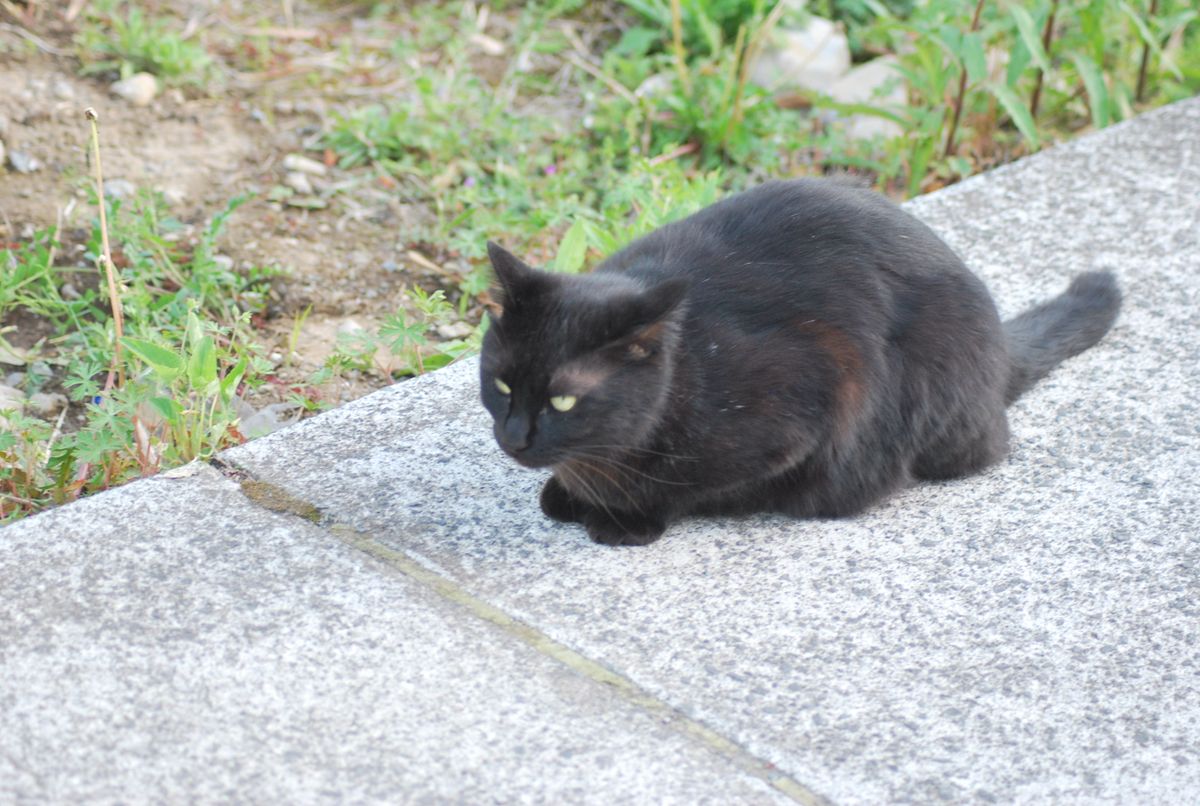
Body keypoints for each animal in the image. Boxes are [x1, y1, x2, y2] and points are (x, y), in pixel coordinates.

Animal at [480, 181, 1123, 546]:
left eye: (563, 399)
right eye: (502, 384)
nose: (514, 437)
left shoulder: (802, 408)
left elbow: (687, 488)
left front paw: (622, 516)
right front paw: (568, 492)